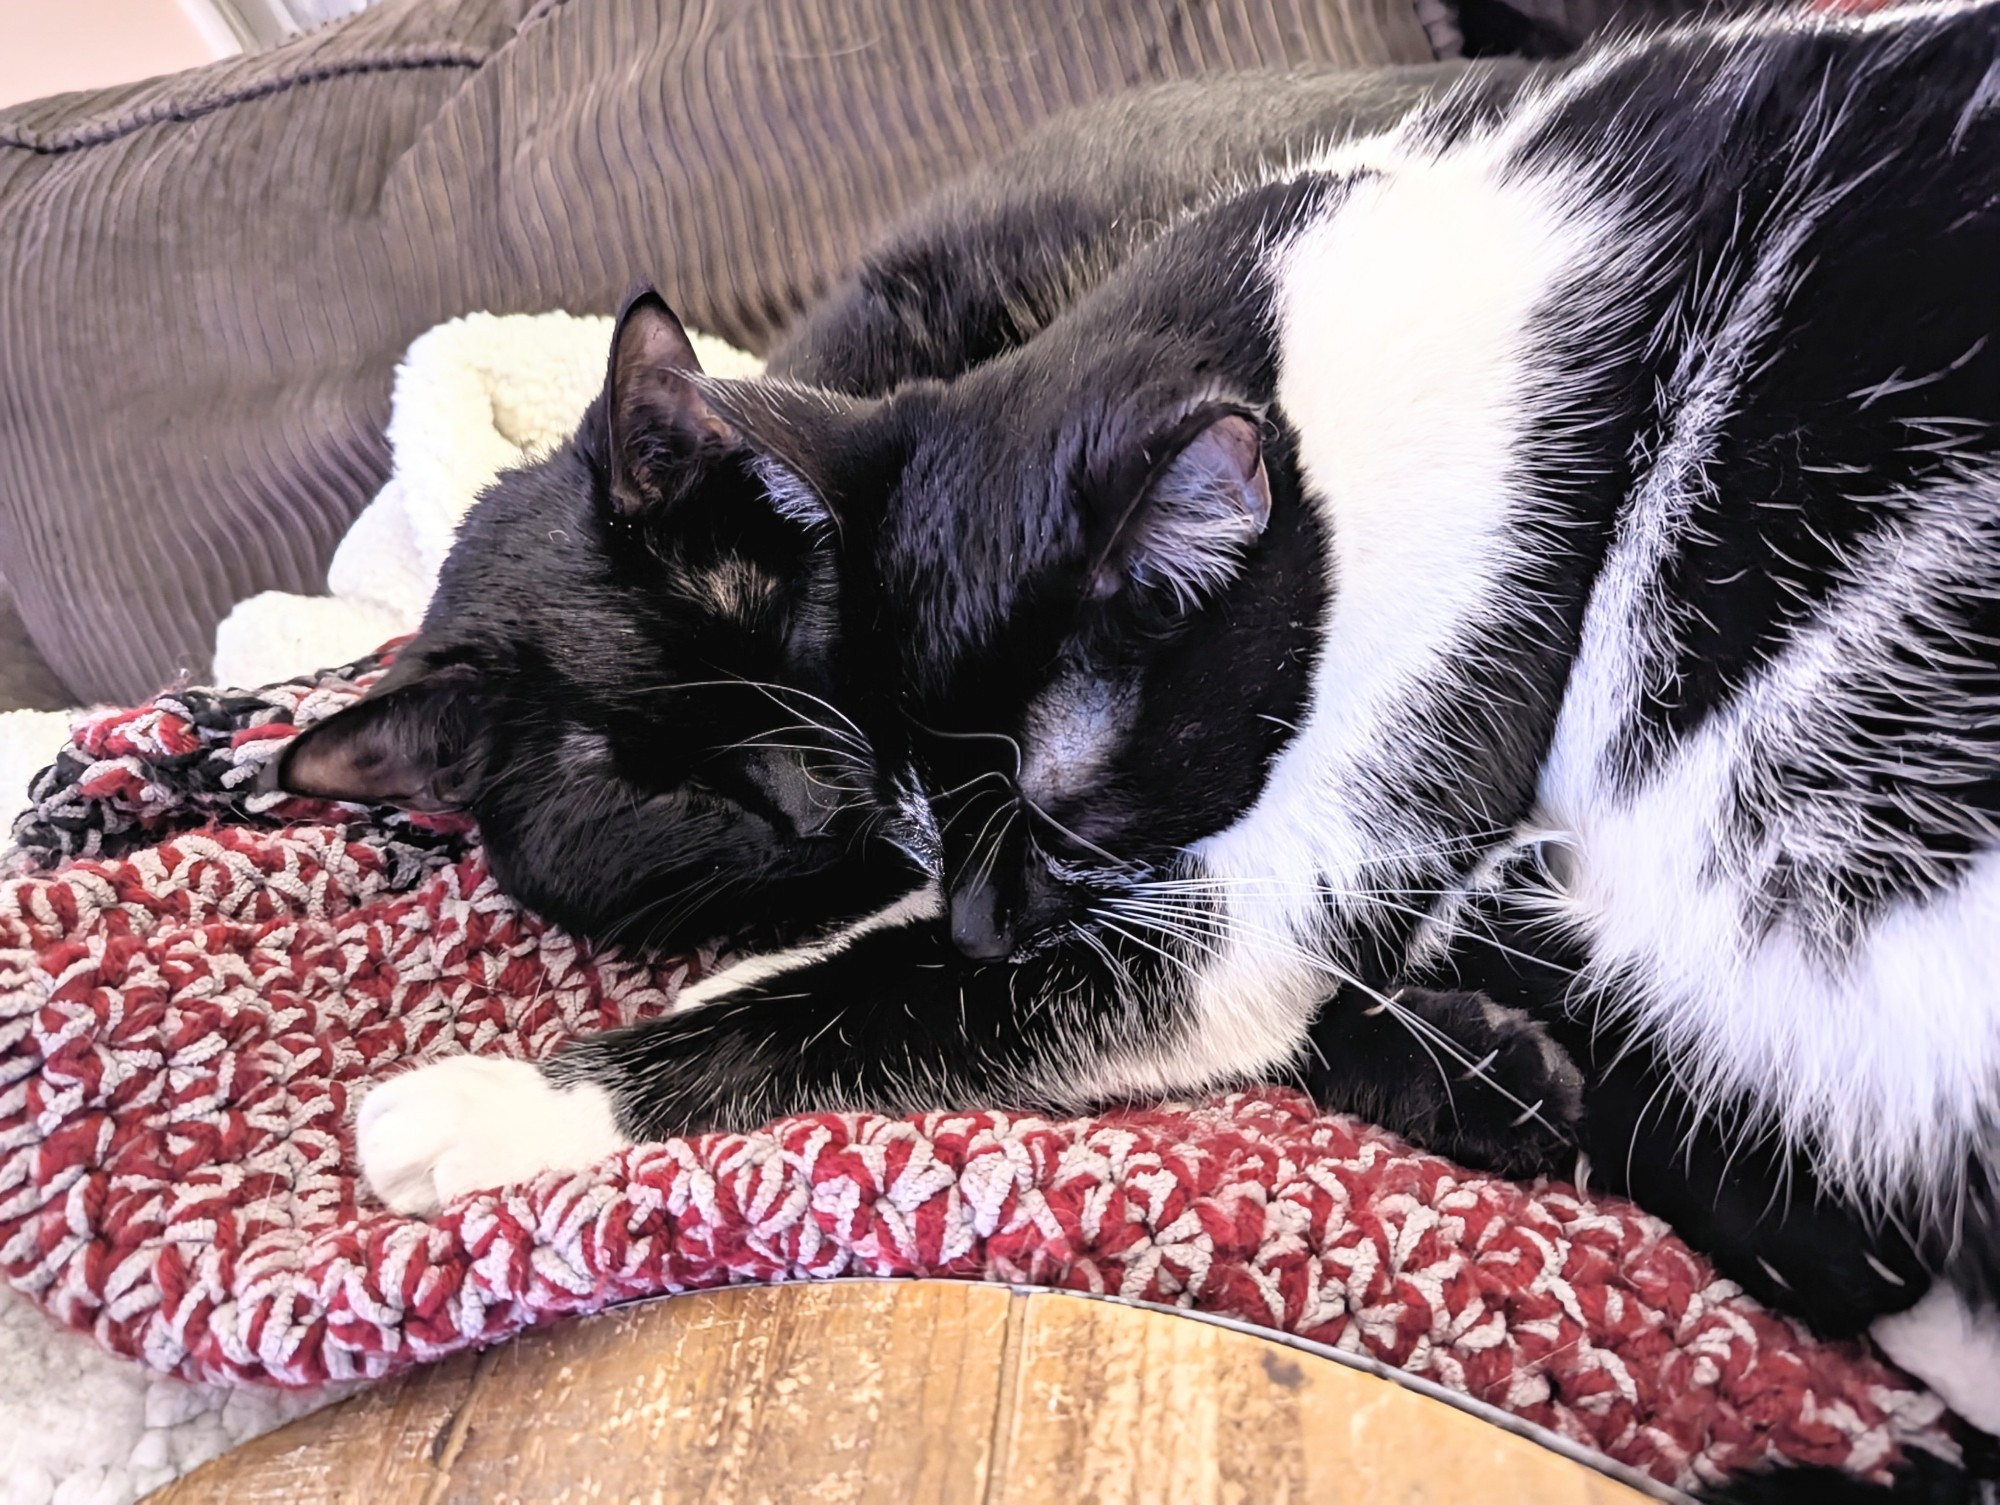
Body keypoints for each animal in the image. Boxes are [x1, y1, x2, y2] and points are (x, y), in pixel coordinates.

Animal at [286, 11, 2000, 1448]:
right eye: (631, 792)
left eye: (1060, 807)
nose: (978, 916)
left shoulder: (1349, 781)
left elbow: (903, 992)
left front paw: (495, 1105)